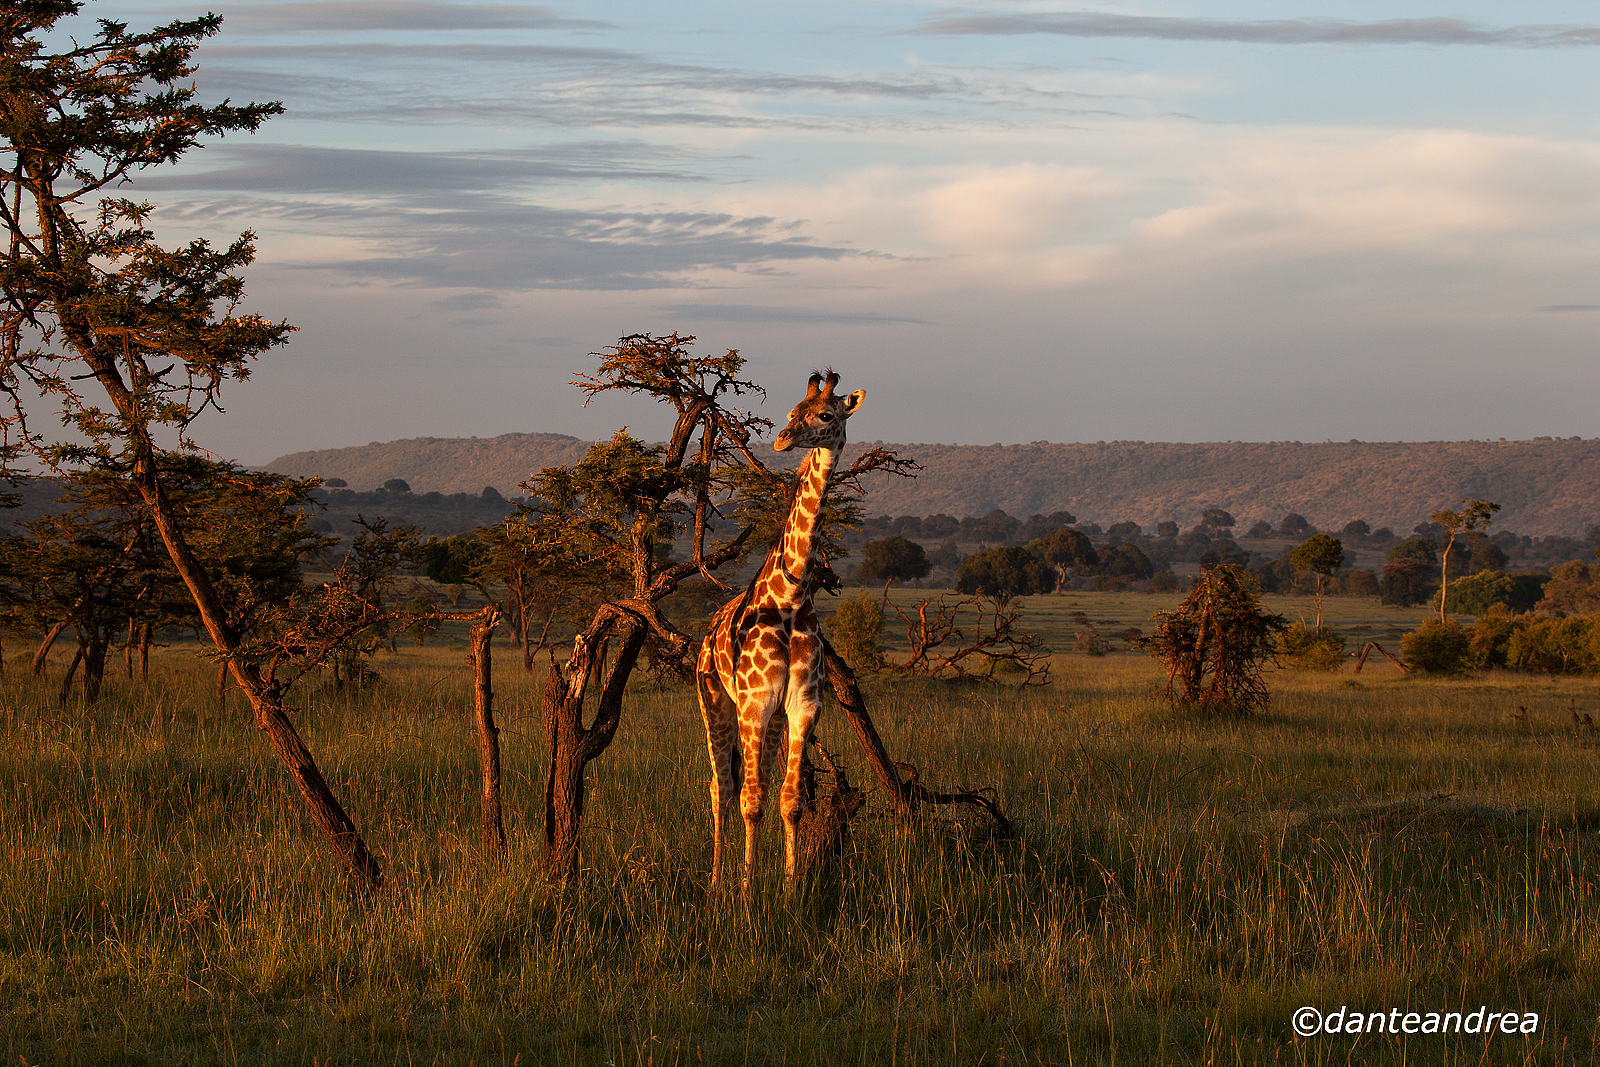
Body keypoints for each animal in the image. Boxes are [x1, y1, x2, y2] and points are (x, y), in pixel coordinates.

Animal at [697, 369, 866, 897]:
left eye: (827, 415)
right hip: (715, 702)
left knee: (760, 786)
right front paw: (747, 894)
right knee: (723, 788)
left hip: (769, 718)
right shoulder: (752, 703)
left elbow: (790, 800)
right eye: (792, 412)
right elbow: (749, 800)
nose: (783, 439)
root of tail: (705, 636)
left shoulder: (802, 704)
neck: (791, 596)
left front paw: (791, 890)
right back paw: (716, 884)